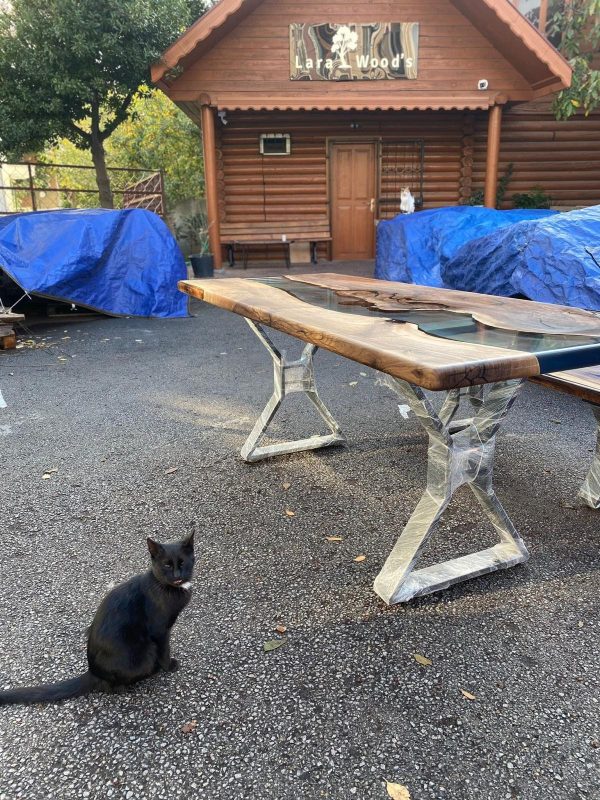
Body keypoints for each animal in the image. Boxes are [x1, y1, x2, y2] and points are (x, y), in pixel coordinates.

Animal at [0, 536, 193, 704]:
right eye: (167, 565)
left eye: (182, 562)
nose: (177, 575)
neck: (167, 587)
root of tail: (93, 672)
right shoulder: (160, 630)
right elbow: (165, 650)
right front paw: (169, 666)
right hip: (145, 652)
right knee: (114, 688)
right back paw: (150, 673)